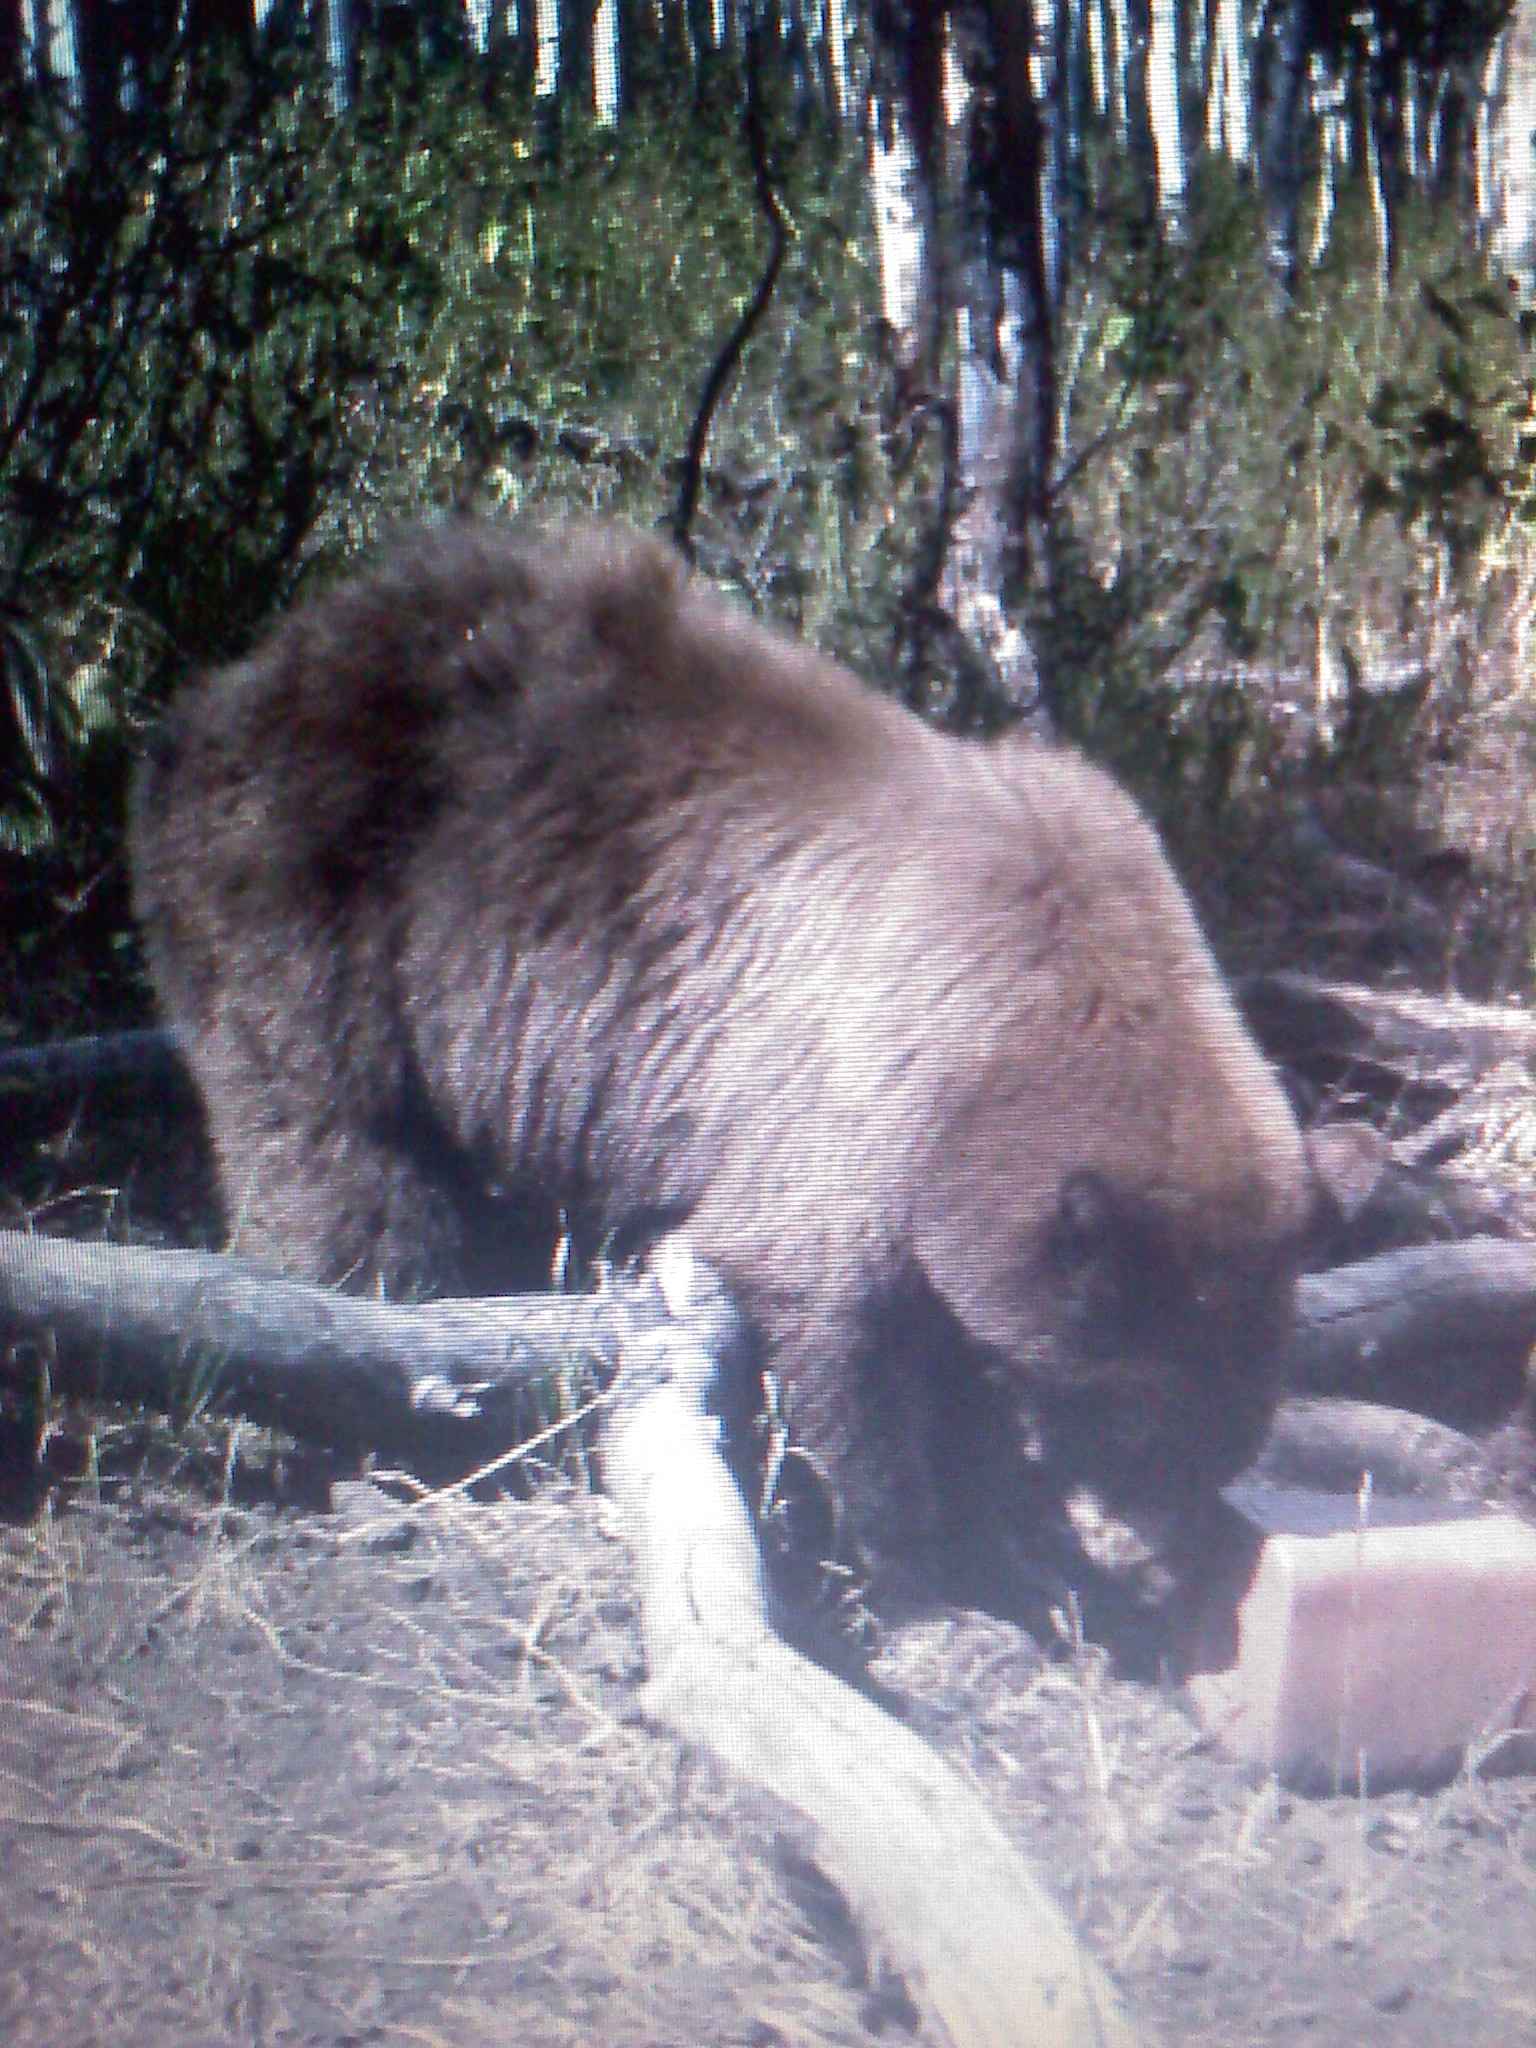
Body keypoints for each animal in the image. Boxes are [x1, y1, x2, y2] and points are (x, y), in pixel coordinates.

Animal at [130, 517, 1316, 1602]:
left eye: (1225, 1441)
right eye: (1136, 1431)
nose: (1165, 1574)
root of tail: (226, 687)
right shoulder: (859, 1080)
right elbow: (826, 1305)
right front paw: (926, 1546)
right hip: (307, 884)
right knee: (333, 1151)